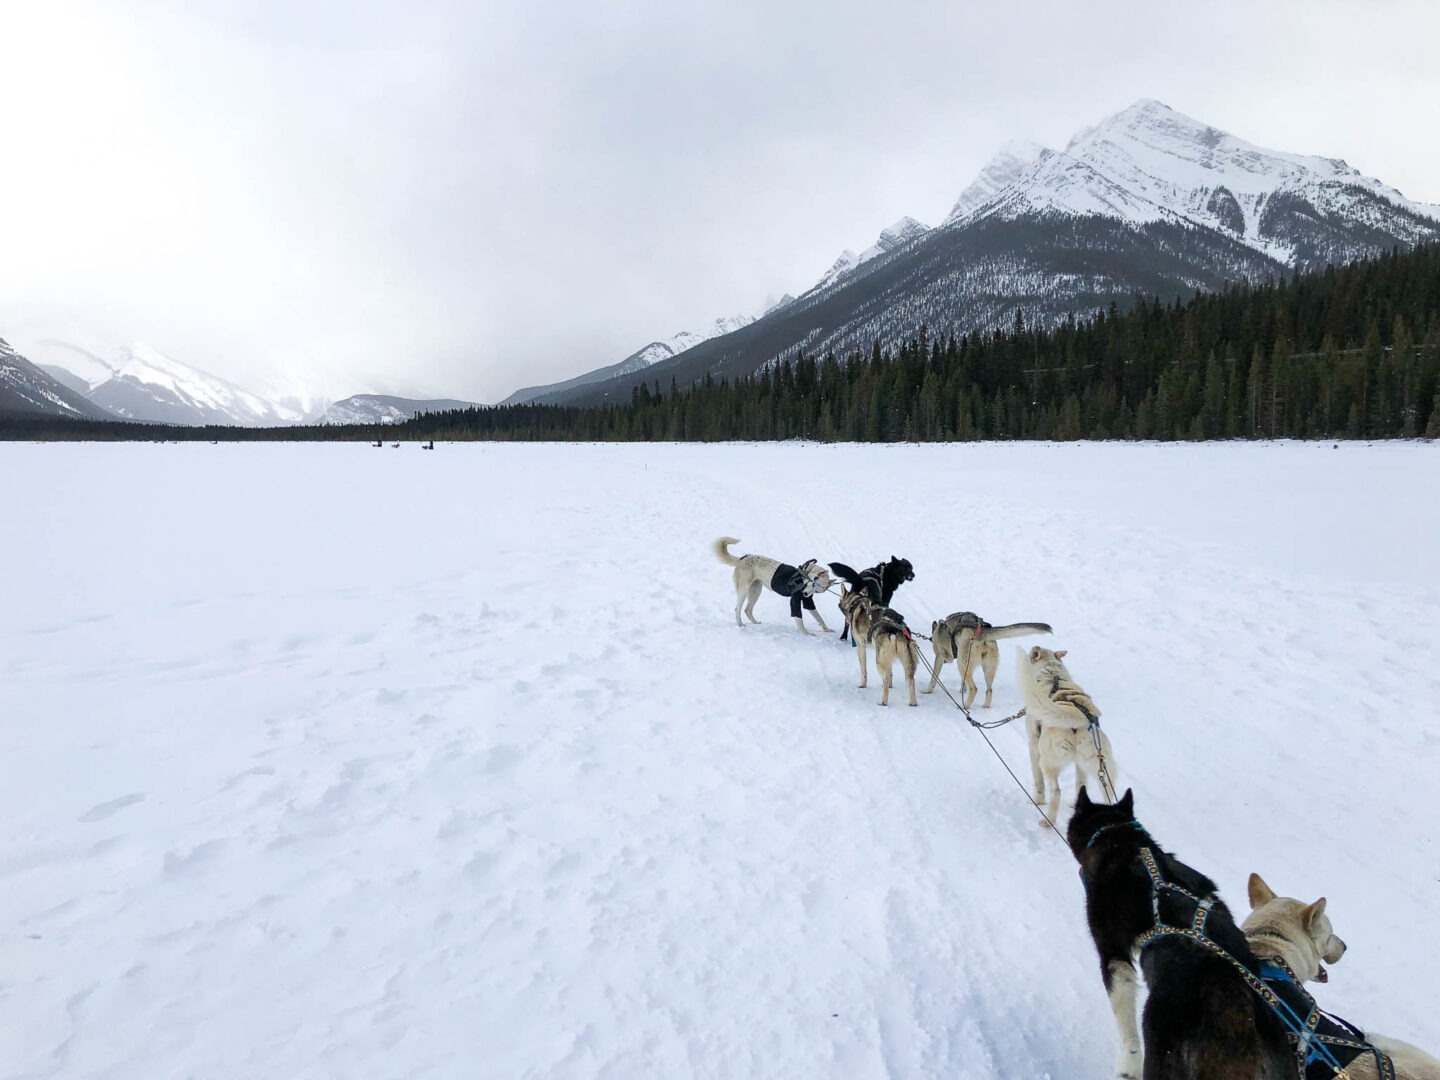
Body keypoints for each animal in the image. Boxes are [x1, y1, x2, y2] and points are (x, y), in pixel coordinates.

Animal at [1013, 642, 1111, 817]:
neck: (1052, 674)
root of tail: (1078, 717)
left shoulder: (1033, 746)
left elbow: (1038, 781)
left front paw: (1038, 800)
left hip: (1047, 762)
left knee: (1057, 791)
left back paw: (1047, 819)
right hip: (1100, 768)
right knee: (1095, 790)